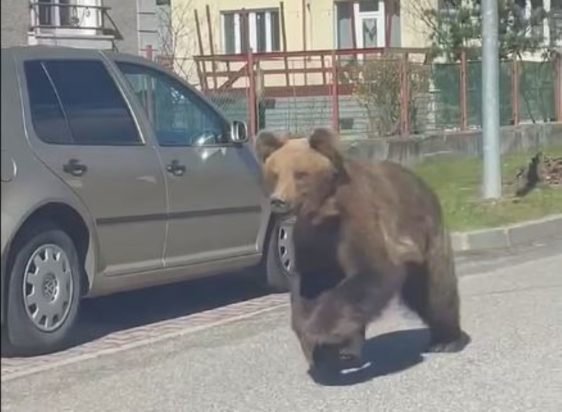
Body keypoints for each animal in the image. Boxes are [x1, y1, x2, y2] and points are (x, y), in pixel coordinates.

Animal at [254, 127, 470, 373]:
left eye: (300, 174)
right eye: (274, 174)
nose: (278, 201)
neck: (326, 212)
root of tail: (425, 184)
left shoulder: (359, 216)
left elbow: (374, 270)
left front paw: (318, 333)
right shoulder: (313, 238)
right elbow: (311, 283)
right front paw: (316, 346)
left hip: (426, 235)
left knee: (435, 289)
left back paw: (447, 339)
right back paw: (349, 350)